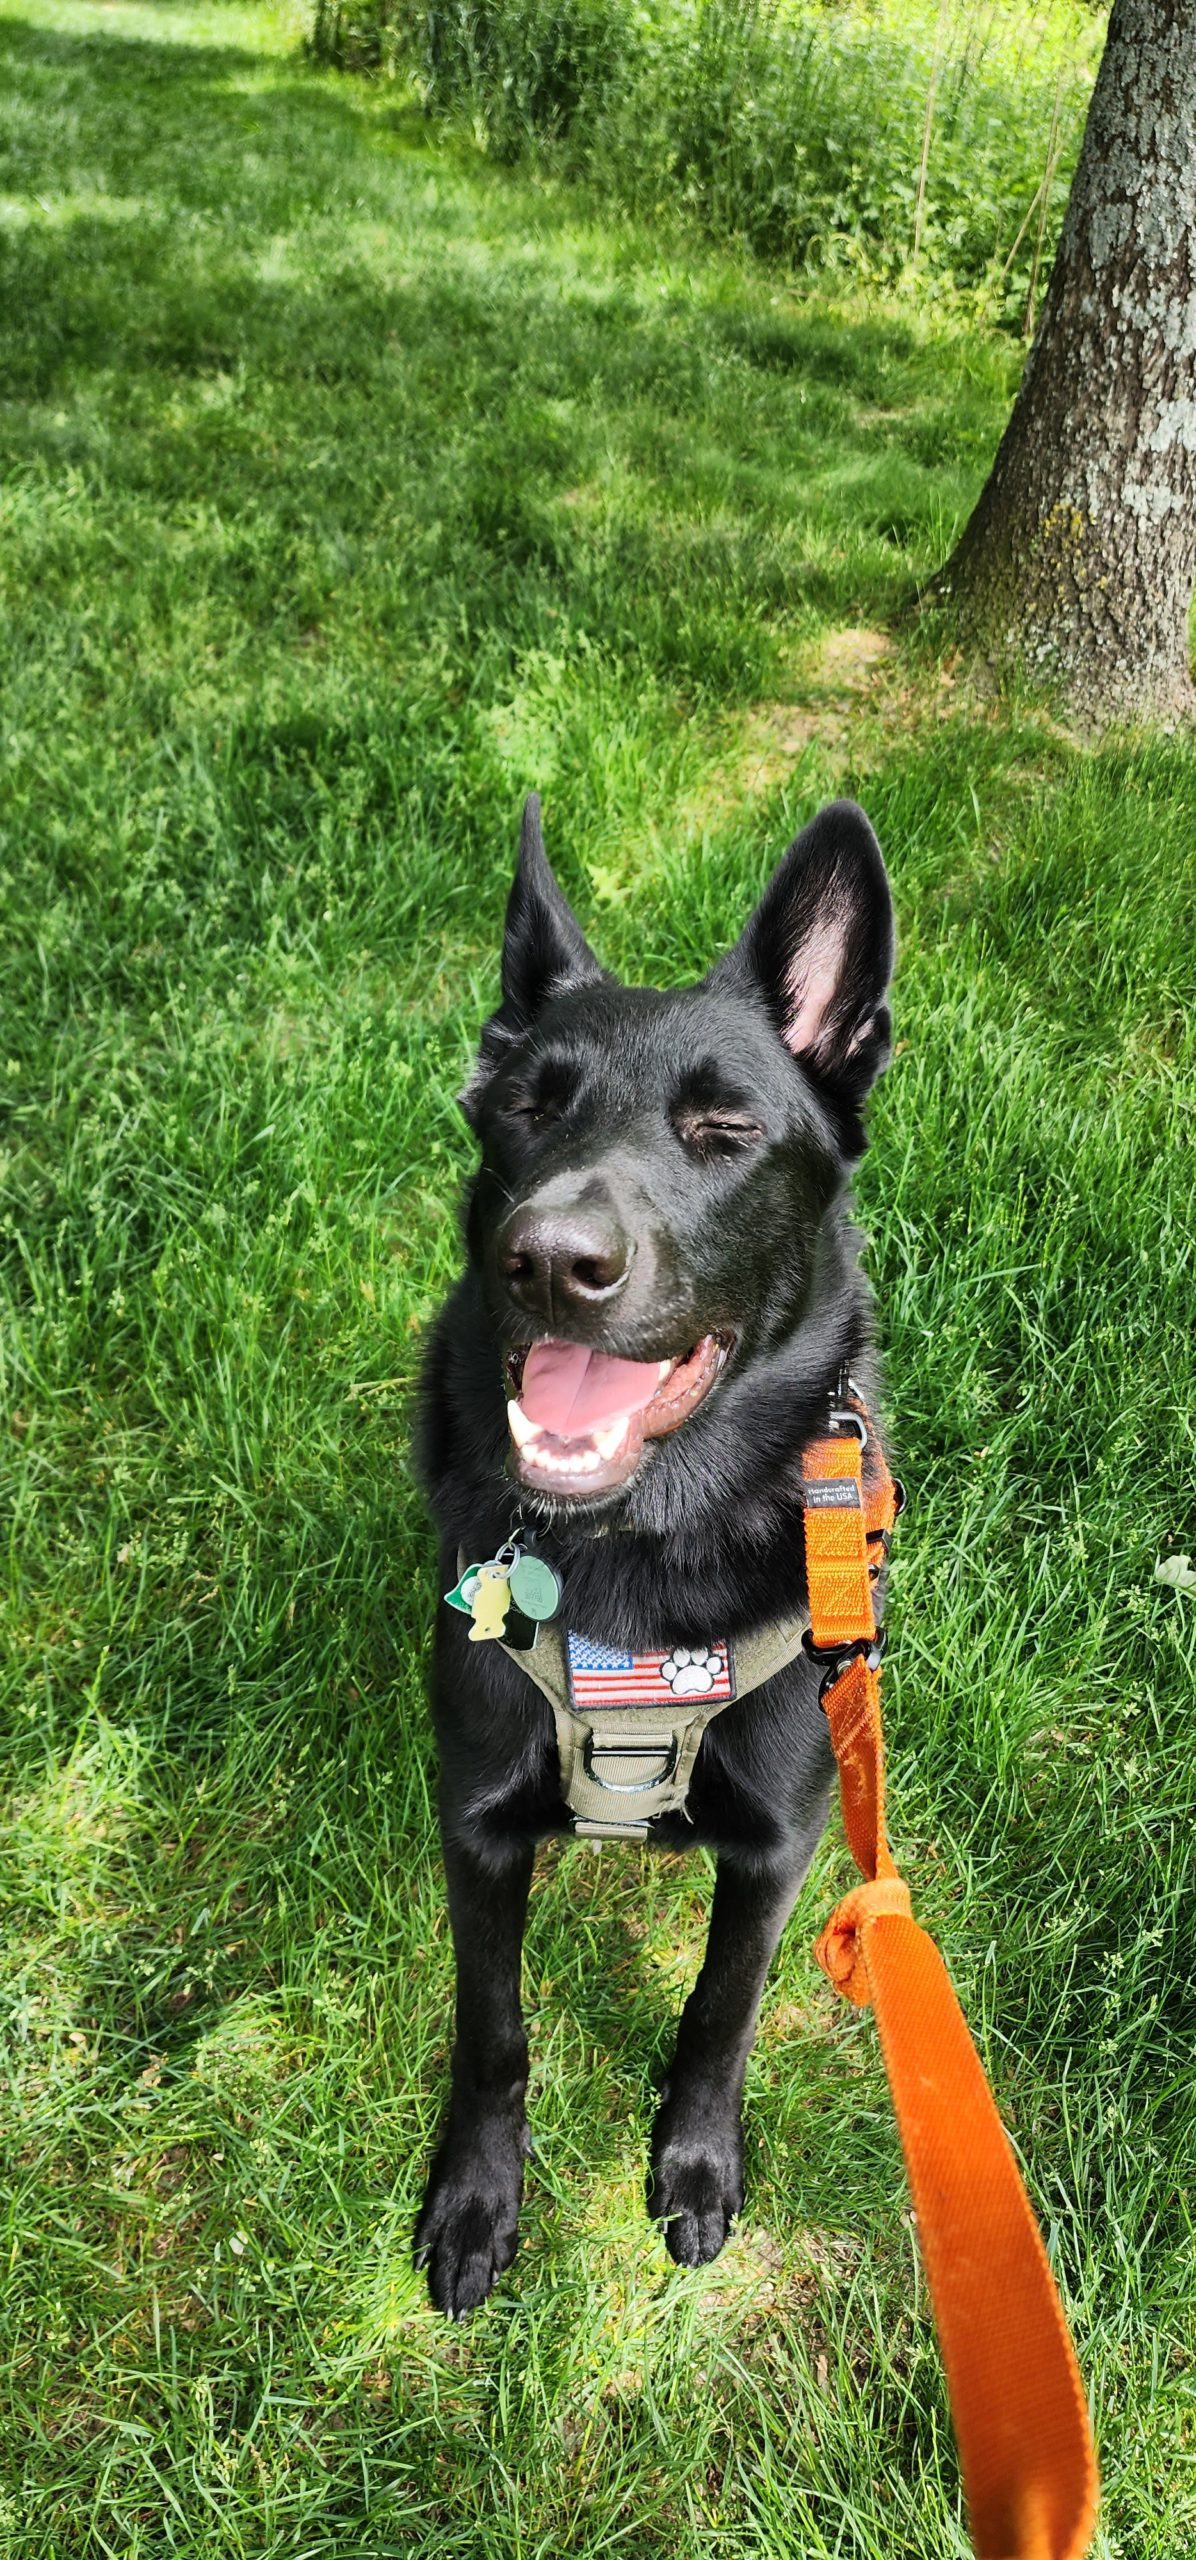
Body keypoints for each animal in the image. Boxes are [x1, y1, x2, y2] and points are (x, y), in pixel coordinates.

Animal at [417, 793, 896, 2324]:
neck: (639, 1544)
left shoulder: (780, 1848)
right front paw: (478, 2196)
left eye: (724, 1127)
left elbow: (720, 2009)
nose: (550, 1259)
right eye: (527, 1104)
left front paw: (692, 2163)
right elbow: (493, 2028)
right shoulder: (475, 1828)